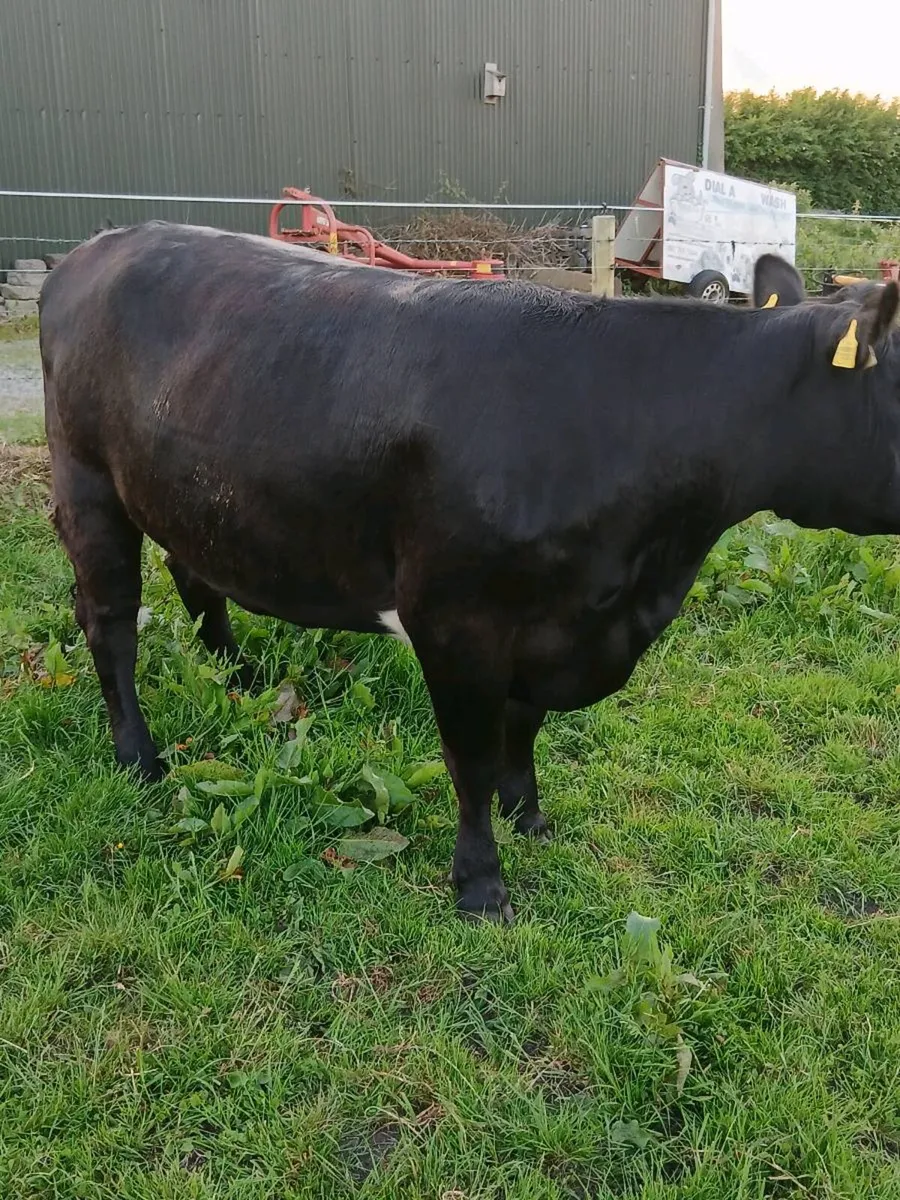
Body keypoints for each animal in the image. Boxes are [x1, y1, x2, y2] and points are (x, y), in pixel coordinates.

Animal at [39, 222, 899, 922]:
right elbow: (473, 759)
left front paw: (530, 816)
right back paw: (139, 756)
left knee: (196, 574)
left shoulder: (556, 623)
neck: (638, 579)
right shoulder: (456, 621)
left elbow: (525, 728)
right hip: (86, 480)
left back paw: (240, 676)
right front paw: (481, 883)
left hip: (189, 485)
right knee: (109, 623)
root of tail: (91, 250)